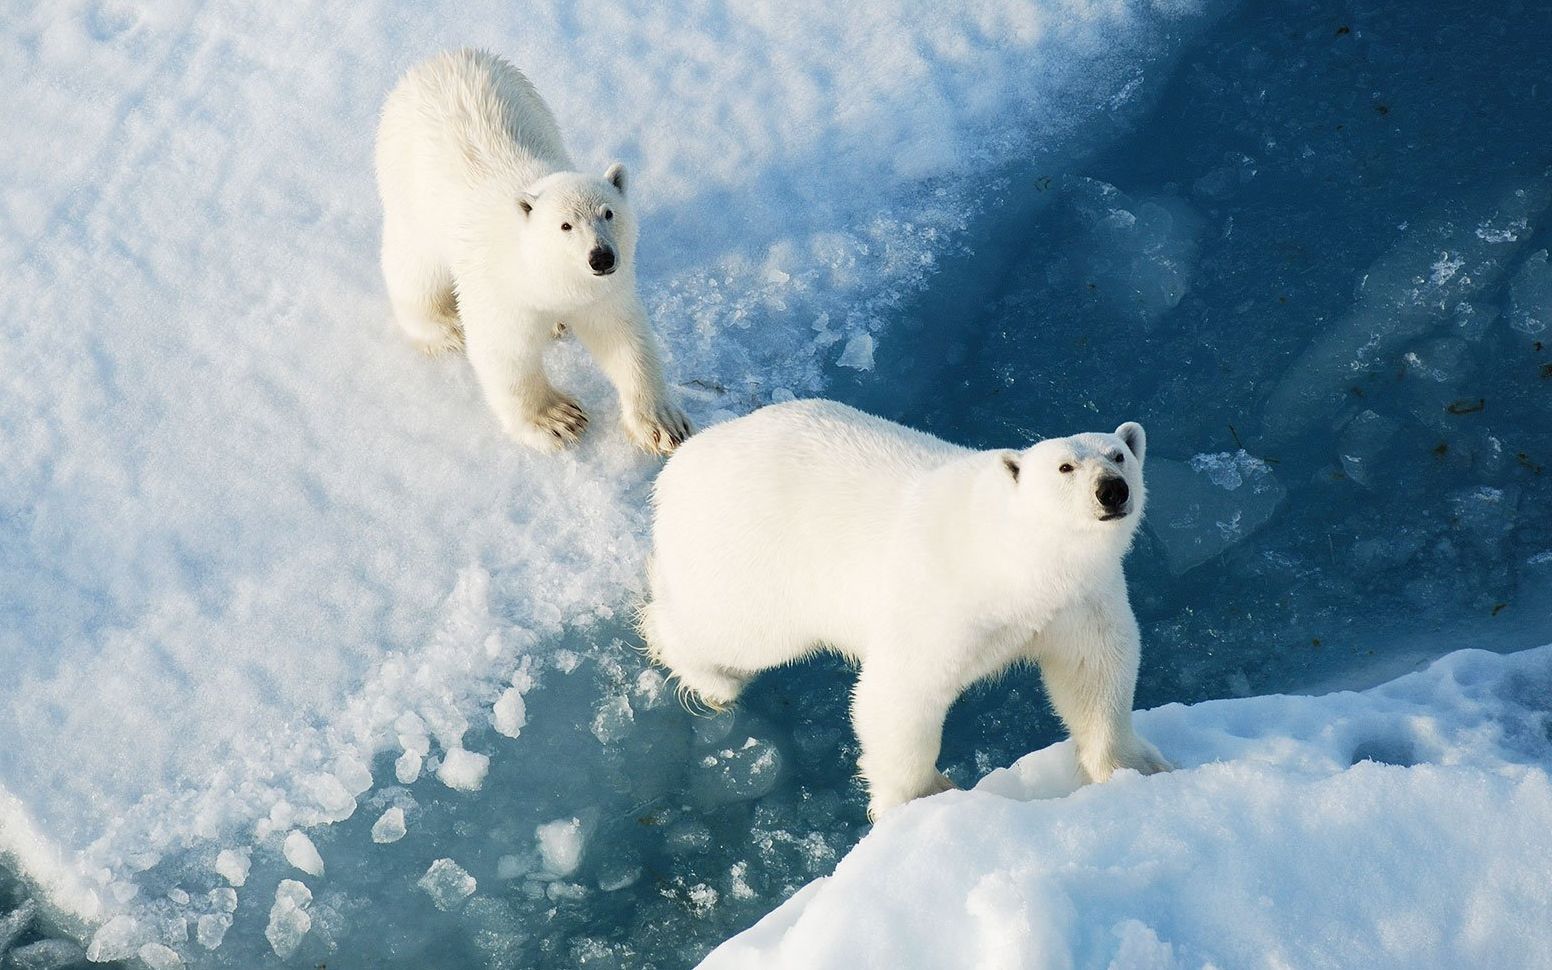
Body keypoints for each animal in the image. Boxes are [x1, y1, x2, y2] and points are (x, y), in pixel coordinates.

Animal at [372, 48, 689, 450]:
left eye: (609, 212)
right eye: (565, 225)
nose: (601, 257)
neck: (541, 274)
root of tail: (441, 57)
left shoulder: (601, 292)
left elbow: (623, 337)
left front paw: (663, 424)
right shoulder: (500, 287)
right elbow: (505, 350)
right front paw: (558, 420)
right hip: (409, 190)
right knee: (414, 267)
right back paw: (442, 327)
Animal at [639, 400, 1167, 819]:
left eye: (1118, 455)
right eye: (1064, 468)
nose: (1112, 489)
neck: (1015, 559)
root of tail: (684, 463)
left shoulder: (1080, 600)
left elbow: (1095, 670)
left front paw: (1134, 767)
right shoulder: (945, 600)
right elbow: (900, 695)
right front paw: (920, 798)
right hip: (755, 557)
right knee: (734, 632)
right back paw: (707, 676)